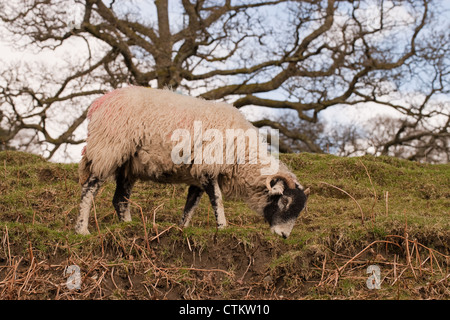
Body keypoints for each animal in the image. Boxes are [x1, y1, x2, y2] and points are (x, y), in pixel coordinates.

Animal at [76, 86, 310, 239]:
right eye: (285, 201)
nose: (283, 236)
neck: (241, 156)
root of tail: (100, 102)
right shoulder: (208, 167)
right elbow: (217, 200)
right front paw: (223, 227)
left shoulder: (198, 175)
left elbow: (191, 205)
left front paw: (182, 229)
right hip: (108, 149)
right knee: (89, 189)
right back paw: (82, 230)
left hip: (127, 164)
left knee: (120, 199)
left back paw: (128, 226)